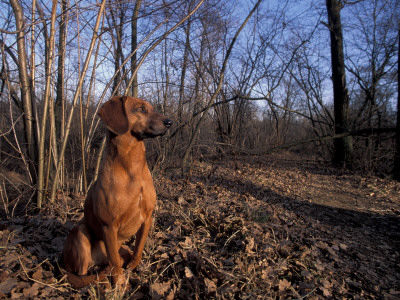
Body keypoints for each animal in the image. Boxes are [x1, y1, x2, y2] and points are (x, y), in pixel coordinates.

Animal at [61, 96, 171, 288]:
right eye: (140, 109)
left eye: (152, 108)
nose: (169, 122)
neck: (132, 167)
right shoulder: (109, 226)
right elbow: (114, 261)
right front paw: (119, 282)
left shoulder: (147, 217)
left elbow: (138, 247)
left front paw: (134, 265)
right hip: (81, 233)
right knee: (83, 274)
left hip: (120, 246)